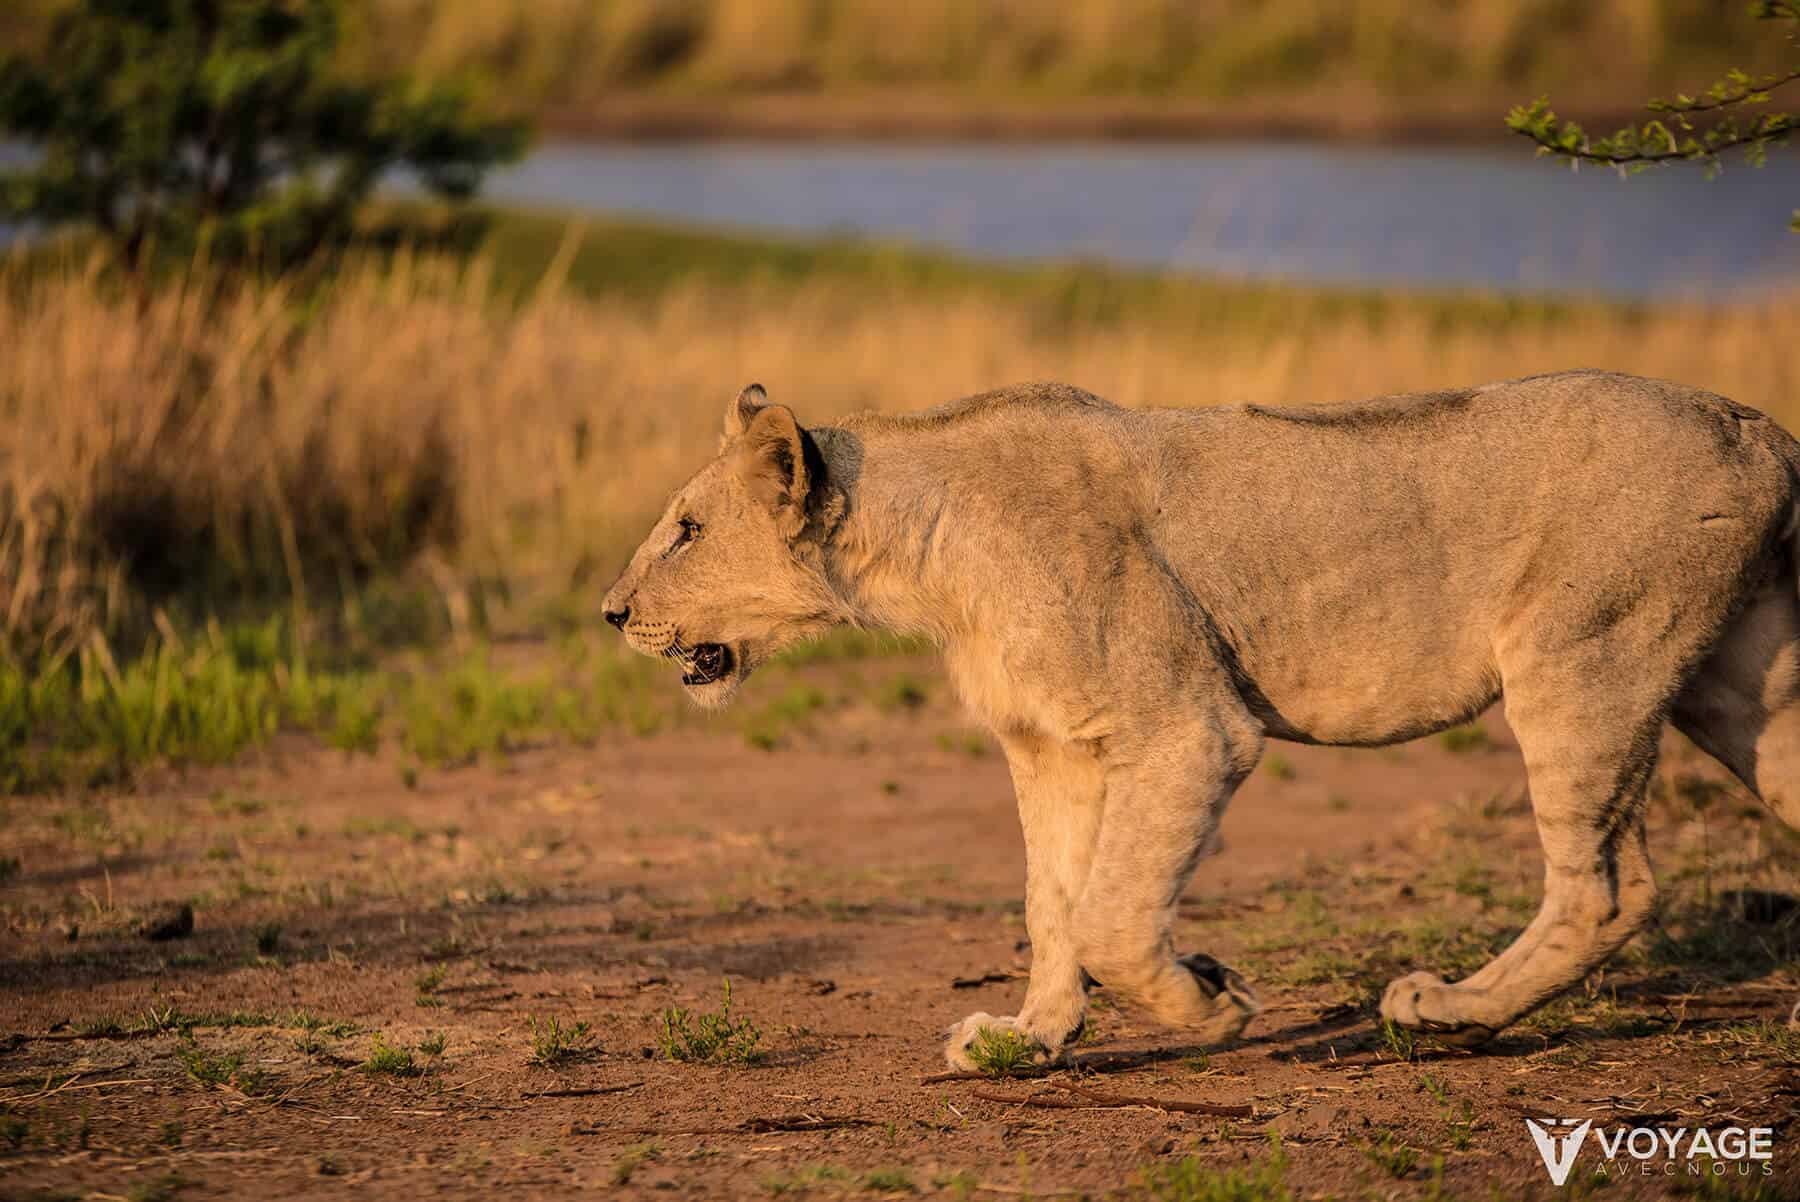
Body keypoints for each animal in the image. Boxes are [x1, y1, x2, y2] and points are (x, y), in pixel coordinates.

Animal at [601, 370, 1800, 1065]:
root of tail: (1761, 429)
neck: (922, 556)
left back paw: (1442, 1011)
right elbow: (1053, 899)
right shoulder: (1050, 745)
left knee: (1608, 886)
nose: (611, 611)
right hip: (1742, 684)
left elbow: (1111, 914)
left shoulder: (1187, 726)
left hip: (1579, 658)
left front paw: (1212, 1004)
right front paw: (1029, 1039)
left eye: (688, 529)